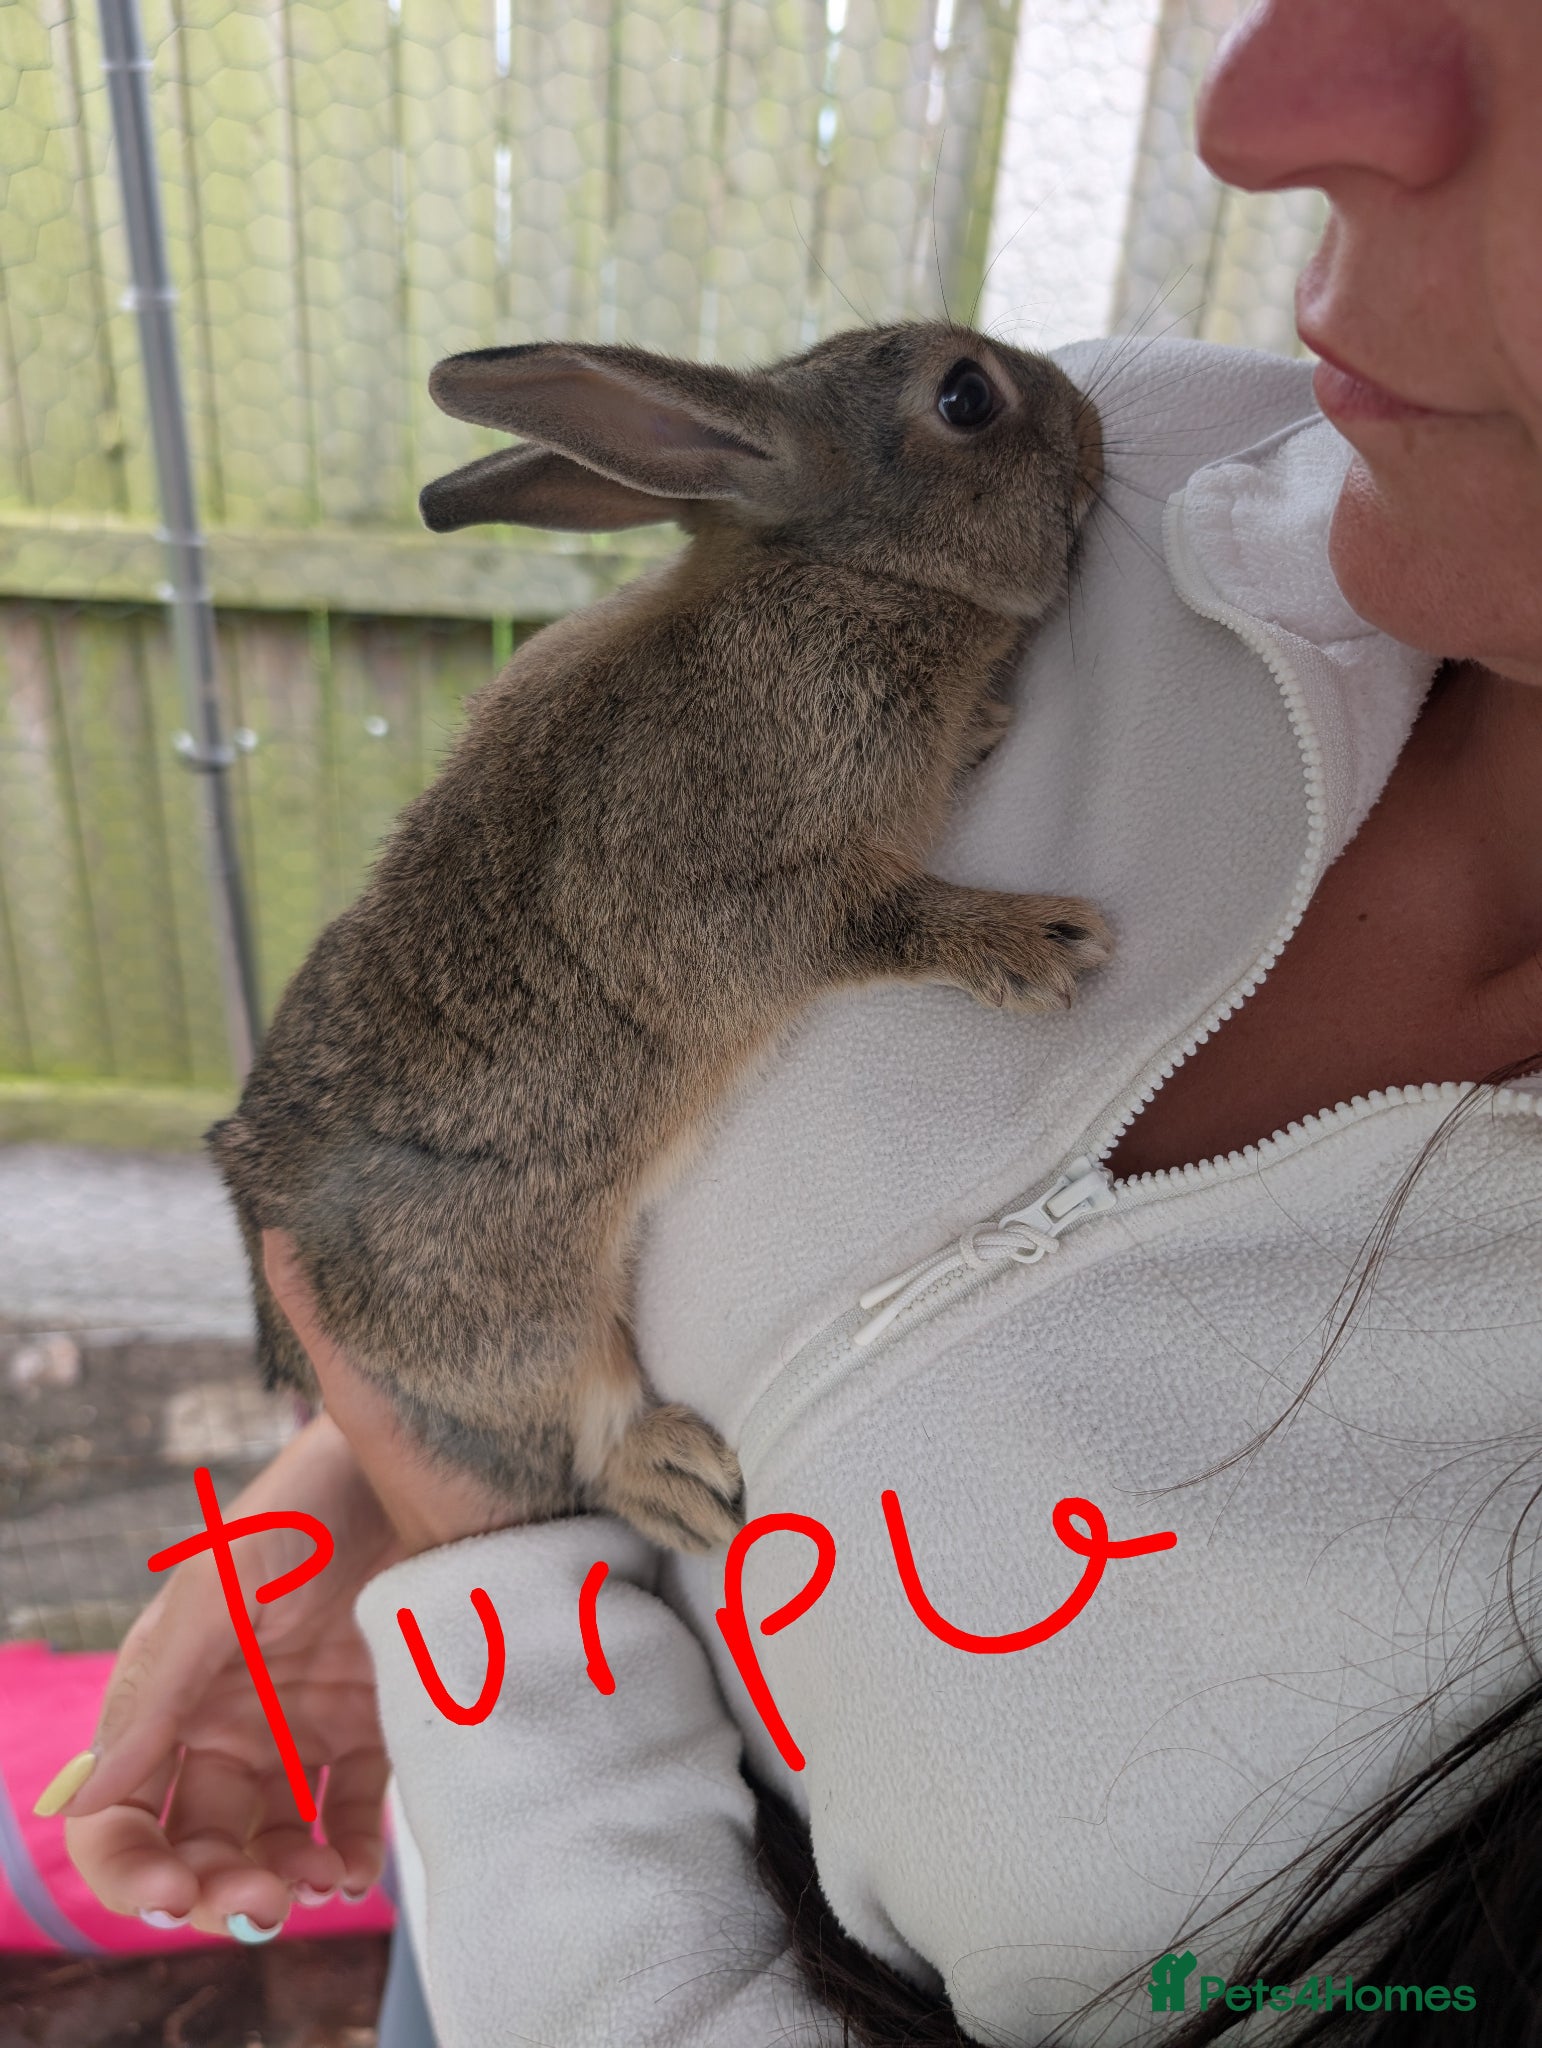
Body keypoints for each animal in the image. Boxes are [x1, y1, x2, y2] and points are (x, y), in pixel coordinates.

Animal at [207, 318, 1114, 1555]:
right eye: (966, 399)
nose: (1094, 427)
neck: (842, 574)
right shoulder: (725, 893)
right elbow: (873, 921)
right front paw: (1035, 943)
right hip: (509, 1310)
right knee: (576, 1429)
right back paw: (670, 1477)